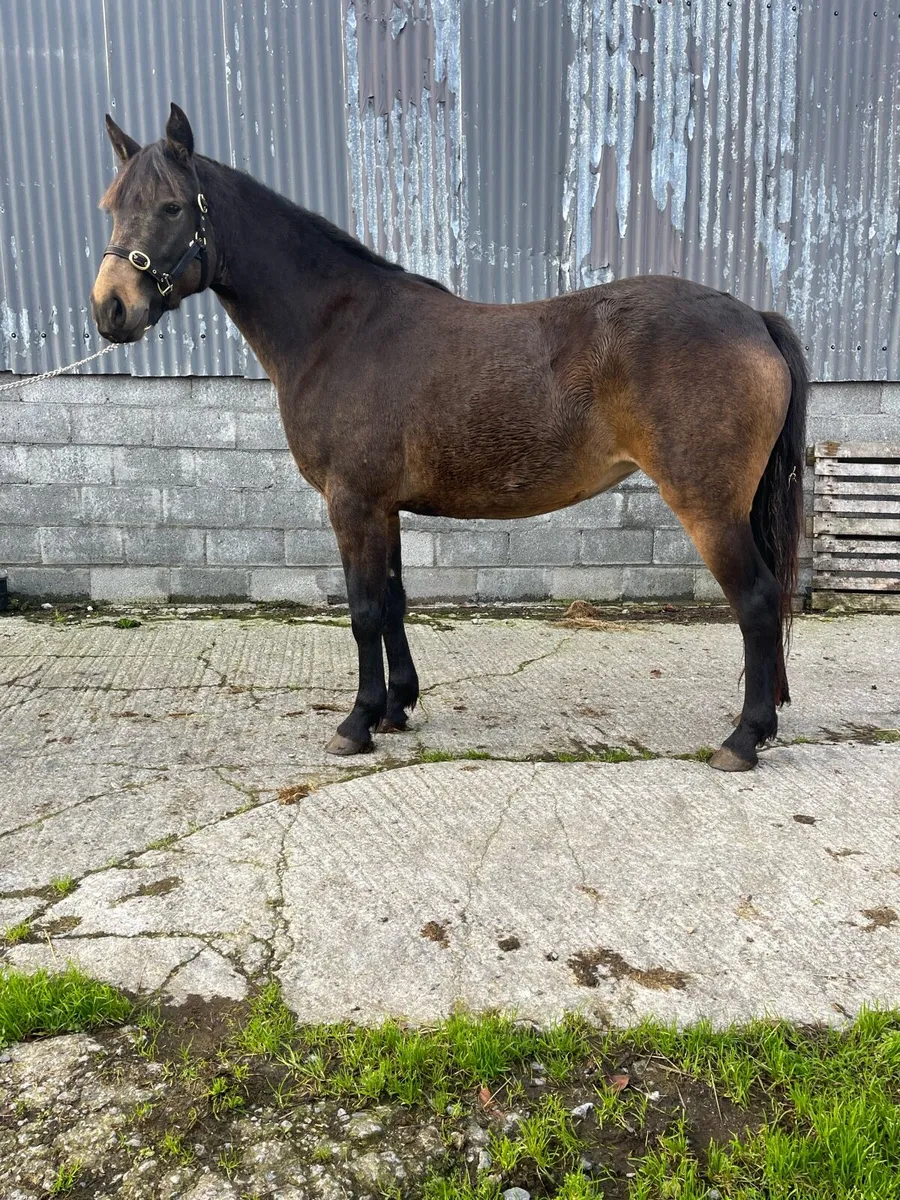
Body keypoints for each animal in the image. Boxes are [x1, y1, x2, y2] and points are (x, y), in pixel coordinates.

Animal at [91, 104, 808, 772]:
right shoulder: (382, 507)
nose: (111, 310)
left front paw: (356, 723)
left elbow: (363, 610)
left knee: (756, 600)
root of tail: (751, 316)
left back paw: (743, 739)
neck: (338, 330)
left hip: (707, 506)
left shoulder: (351, 502)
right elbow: (394, 601)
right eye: (110, 207)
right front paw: (396, 707)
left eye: (172, 206)